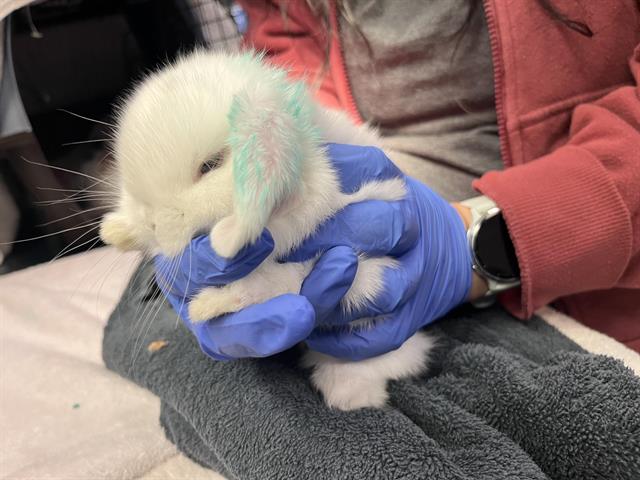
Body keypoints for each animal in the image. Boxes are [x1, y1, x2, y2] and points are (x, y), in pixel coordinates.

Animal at [99, 50, 434, 411]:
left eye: (210, 165)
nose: (154, 225)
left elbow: (278, 274)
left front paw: (207, 300)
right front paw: (116, 230)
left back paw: (348, 392)